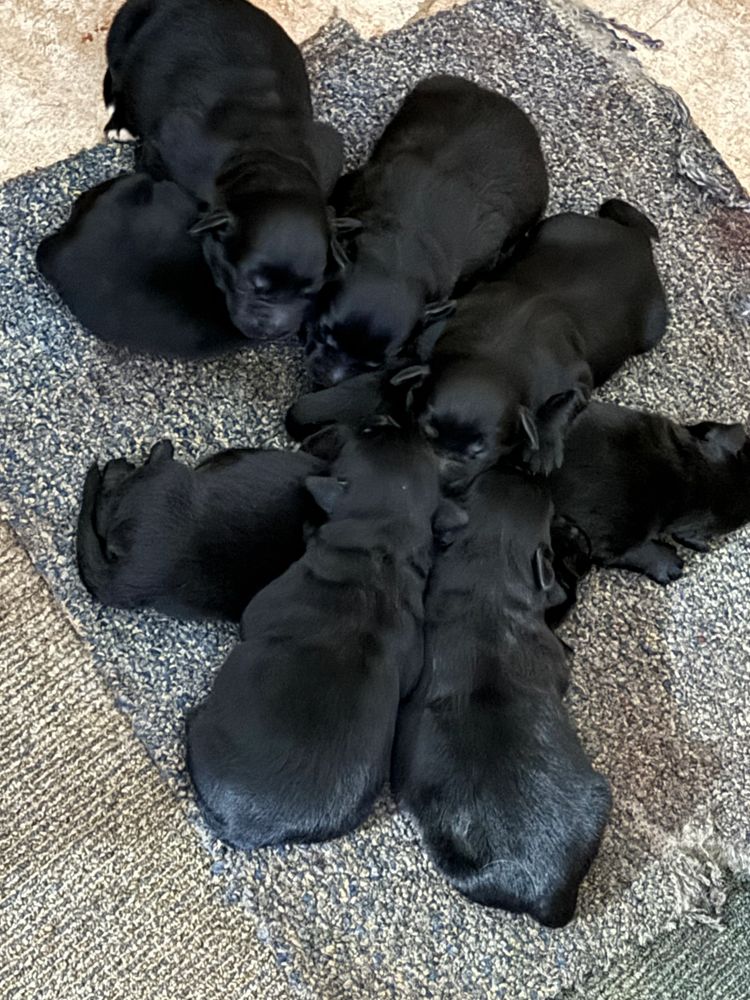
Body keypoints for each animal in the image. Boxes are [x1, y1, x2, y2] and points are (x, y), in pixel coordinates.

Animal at [105, 0, 343, 340]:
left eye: (310, 291)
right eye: (248, 285)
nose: (274, 332)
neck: (267, 155)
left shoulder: (328, 153)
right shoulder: (169, 144)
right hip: (121, 33)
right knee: (118, 77)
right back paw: (119, 122)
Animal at [408, 199, 667, 488]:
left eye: (480, 451)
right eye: (426, 431)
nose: (437, 483)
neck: (493, 357)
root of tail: (635, 237)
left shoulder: (577, 376)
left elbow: (566, 402)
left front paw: (543, 451)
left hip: (652, 327)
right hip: (554, 225)